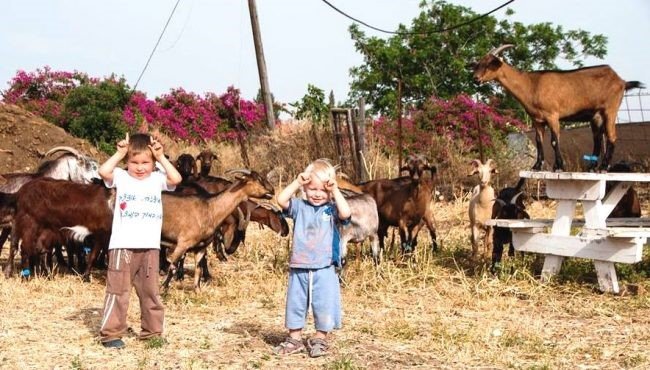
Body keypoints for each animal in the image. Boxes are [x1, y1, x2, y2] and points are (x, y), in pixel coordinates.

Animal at [470, 44, 644, 171]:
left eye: (490, 64)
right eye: (478, 64)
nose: (475, 79)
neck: (531, 85)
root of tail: (622, 81)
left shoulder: (552, 115)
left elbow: (554, 141)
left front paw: (559, 166)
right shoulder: (537, 120)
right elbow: (539, 141)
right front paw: (536, 166)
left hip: (610, 109)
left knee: (611, 136)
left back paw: (604, 167)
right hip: (596, 115)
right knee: (598, 139)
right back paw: (592, 167)